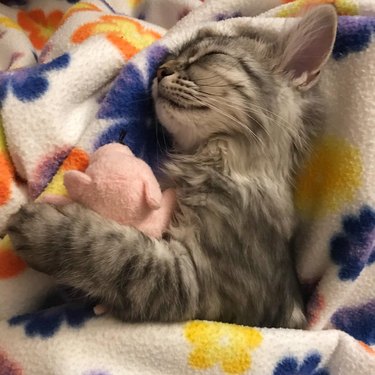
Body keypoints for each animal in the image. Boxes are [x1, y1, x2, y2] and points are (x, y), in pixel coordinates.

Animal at [5, 5, 340, 328]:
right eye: (170, 59)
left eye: (209, 57)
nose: (159, 70)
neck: (222, 160)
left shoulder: (201, 283)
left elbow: (117, 251)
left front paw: (41, 228)